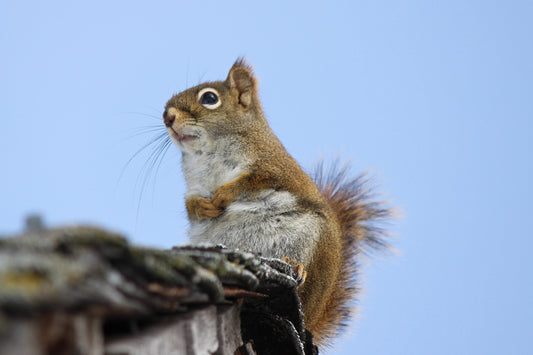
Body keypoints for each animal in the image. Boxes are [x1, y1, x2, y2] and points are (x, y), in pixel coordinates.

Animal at [162, 59, 390, 350]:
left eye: (210, 98)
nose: (167, 117)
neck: (208, 153)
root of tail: (312, 317)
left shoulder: (274, 168)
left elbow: (248, 182)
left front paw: (223, 194)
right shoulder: (194, 185)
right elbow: (191, 204)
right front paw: (205, 206)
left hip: (316, 243)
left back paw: (296, 266)